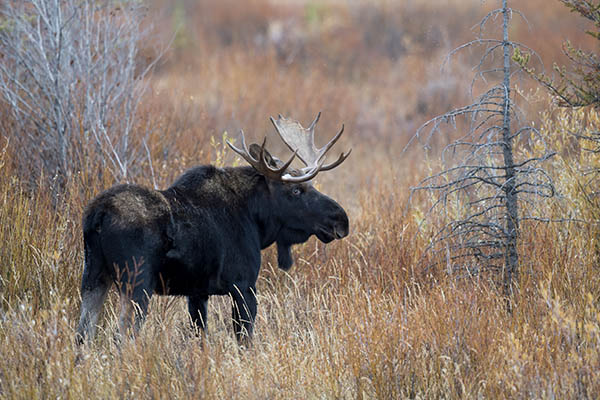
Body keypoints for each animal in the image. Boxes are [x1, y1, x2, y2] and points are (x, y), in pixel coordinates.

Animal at [75, 113, 352, 344]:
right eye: (296, 190)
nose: (341, 219)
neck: (256, 222)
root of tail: (97, 215)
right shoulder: (243, 285)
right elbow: (244, 341)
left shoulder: (198, 293)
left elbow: (201, 338)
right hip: (136, 282)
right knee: (121, 337)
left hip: (93, 277)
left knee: (82, 335)